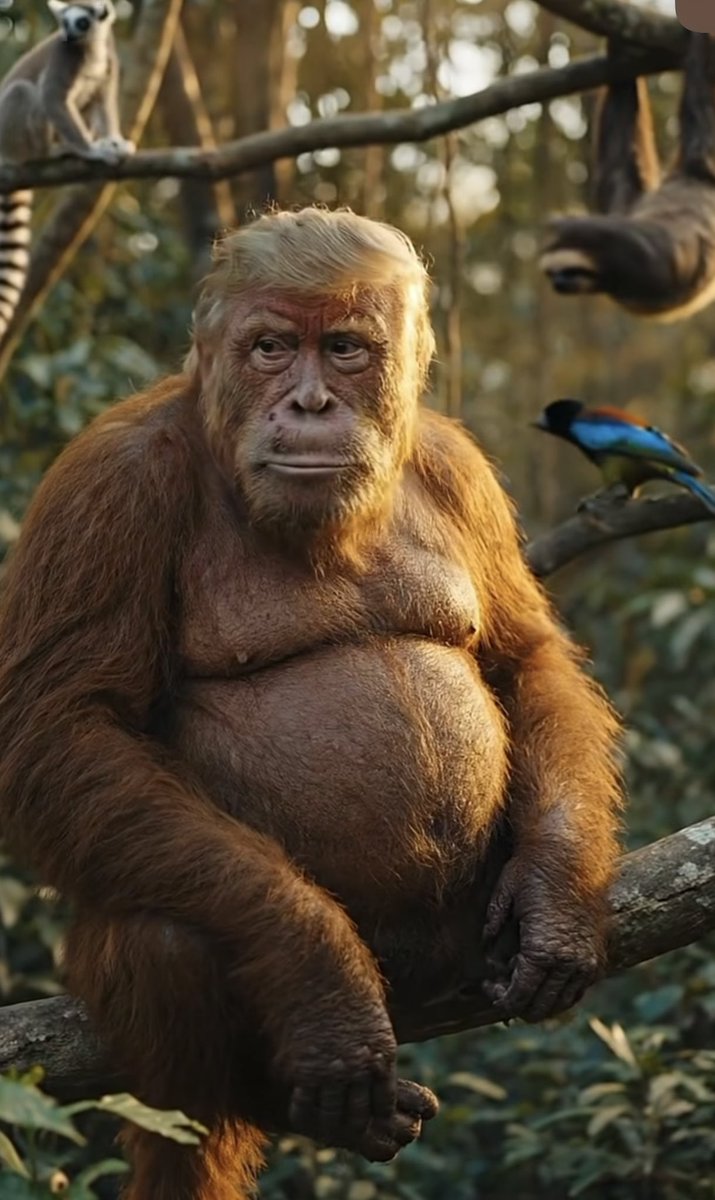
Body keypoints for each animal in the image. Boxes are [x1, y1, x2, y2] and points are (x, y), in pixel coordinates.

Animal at [0, 1, 134, 339]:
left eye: (82, 22)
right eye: (64, 22)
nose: (68, 35)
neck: (91, 49)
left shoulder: (108, 59)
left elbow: (103, 99)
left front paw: (115, 141)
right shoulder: (63, 59)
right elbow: (53, 99)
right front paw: (94, 151)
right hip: (13, 135)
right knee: (24, 92)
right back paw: (57, 151)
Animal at [0, 207, 624, 1200]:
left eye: (342, 349)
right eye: (269, 347)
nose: (310, 402)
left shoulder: (457, 466)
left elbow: (522, 656)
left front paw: (556, 893)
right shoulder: (106, 487)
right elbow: (63, 727)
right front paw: (320, 975)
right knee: (160, 940)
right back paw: (270, 1105)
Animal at [540, 33, 715, 321]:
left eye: (569, 272)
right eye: (553, 274)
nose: (558, 283)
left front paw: (565, 224)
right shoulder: (643, 267)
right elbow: (617, 171)